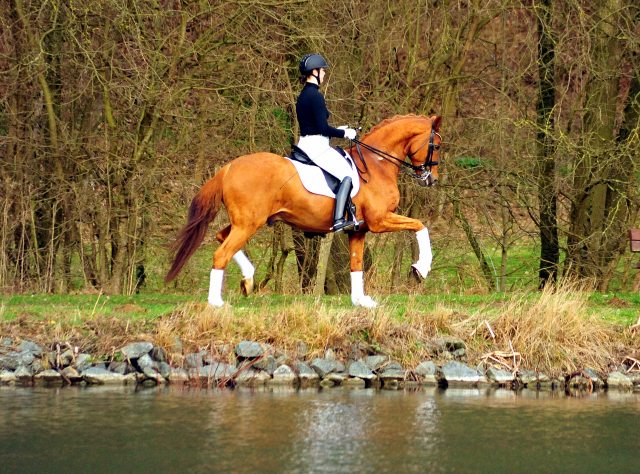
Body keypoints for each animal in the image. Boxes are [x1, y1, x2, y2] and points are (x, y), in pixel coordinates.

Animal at [168, 115, 442, 308]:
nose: (432, 180)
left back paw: (247, 280)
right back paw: (217, 302)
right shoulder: (379, 221)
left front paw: (360, 301)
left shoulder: (359, 230)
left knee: (221, 238)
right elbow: (421, 225)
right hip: (248, 223)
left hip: (244, 221)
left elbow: (356, 265)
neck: (377, 165)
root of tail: (229, 167)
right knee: (221, 254)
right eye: (437, 146)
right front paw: (421, 268)